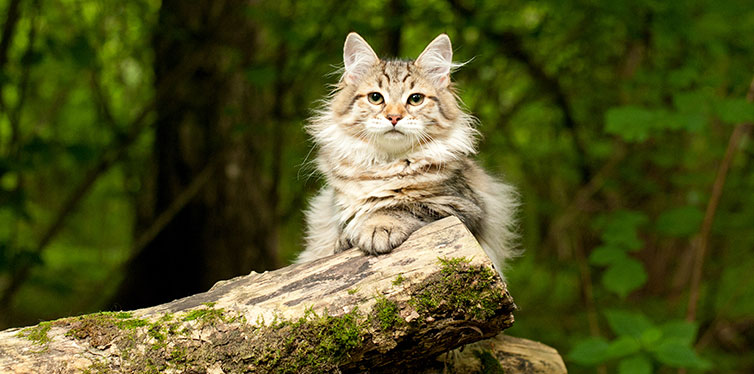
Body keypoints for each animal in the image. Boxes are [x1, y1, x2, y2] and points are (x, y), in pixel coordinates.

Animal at [294, 32, 516, 278]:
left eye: (415, 99)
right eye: (375, 98)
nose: (393, 117)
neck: (386, 164)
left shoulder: (464, 205)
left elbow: (398, 206)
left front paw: (377, 227)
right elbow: (348, 224)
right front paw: (347, 239)